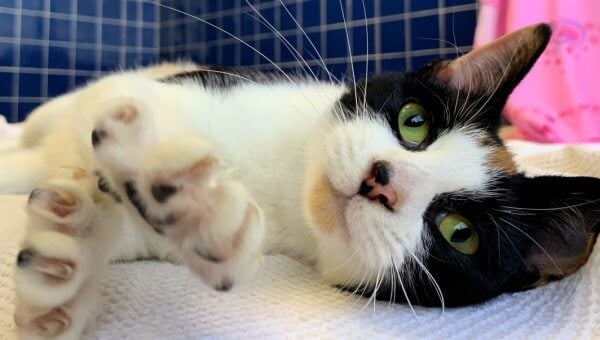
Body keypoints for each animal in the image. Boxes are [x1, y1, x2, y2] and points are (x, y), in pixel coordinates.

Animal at [1, 23, 600, 338]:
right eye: (415, 122)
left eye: (460, 233)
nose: (382, 180)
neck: (288, 184)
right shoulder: (157, 92)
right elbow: (117, 113)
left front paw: (74, 251)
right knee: (43, 126)